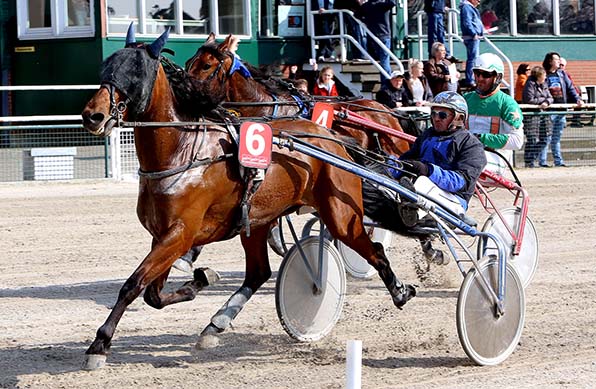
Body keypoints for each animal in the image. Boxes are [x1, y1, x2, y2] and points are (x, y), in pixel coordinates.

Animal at [79, 28, 414, 370]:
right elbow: (153, 294)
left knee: (372, 248)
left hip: (341, 215)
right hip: (257, 219)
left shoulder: (179, 234)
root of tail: (331, 138)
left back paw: (400, 291)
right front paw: (200, 279)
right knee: (258, 273)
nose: (93, 115)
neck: (182, 150)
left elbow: (133, 284)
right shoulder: (162, 236)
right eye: (106, 68)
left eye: (135, 72)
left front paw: (100, 344)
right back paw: (215, 325)